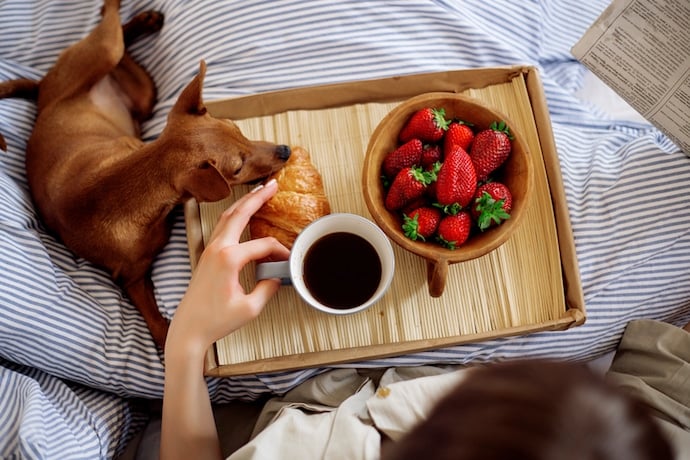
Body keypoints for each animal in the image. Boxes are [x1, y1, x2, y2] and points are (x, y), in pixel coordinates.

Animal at [0, 0, 288, 344]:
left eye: (237, 128)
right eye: (237, 168)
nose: (285, 151)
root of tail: (44, 94)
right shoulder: (132, 280)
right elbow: (162, 333)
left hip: (140, 89)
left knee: (116, 38)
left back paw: (145, 20)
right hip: (110, 59)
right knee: (111, 30)